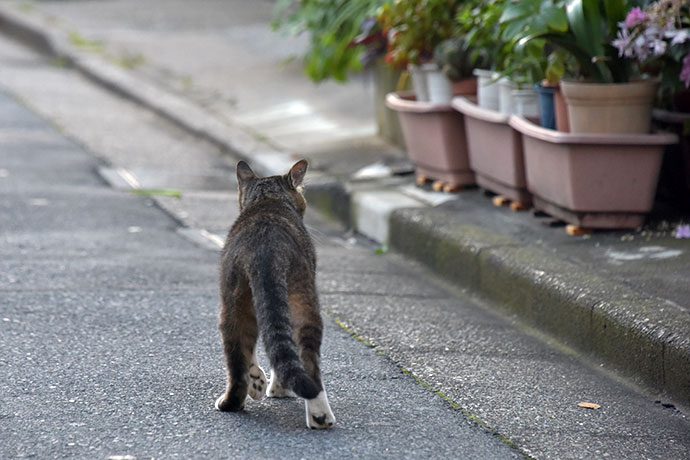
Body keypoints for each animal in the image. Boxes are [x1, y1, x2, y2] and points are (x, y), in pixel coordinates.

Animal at [214, 160, 334, 430]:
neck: (267, 200)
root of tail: (265, 249)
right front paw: (266, 385)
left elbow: (254, 349)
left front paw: (257, 382)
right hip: (301, 299)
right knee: (307, 361)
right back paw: (319, 415)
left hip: (233, 301)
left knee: (237, 360)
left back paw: (232, 403)